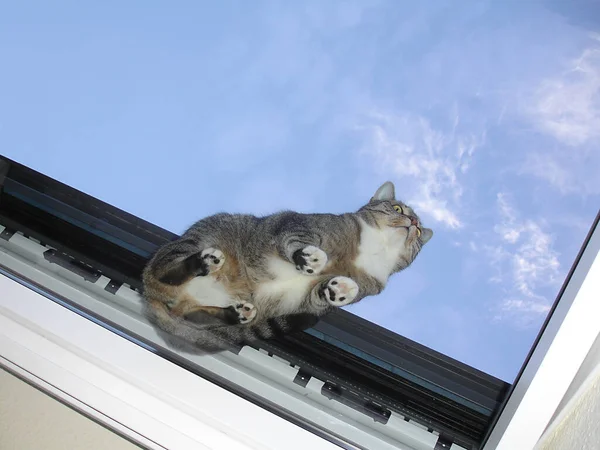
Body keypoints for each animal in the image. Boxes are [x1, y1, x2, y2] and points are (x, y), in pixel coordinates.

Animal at [142, 181, 432, 354]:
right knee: (165, 271)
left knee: (194, 315)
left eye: (418, 231)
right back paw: (204, 261)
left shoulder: (316, 298)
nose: (414, 222)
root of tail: (148, 294)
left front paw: (340, 290)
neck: (375, 249)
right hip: (194, 243)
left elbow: (320, 294)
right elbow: (298, 240)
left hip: (205, 310)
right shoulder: (299, 225)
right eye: (397, 208)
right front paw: (310, 258)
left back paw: (235, 314)